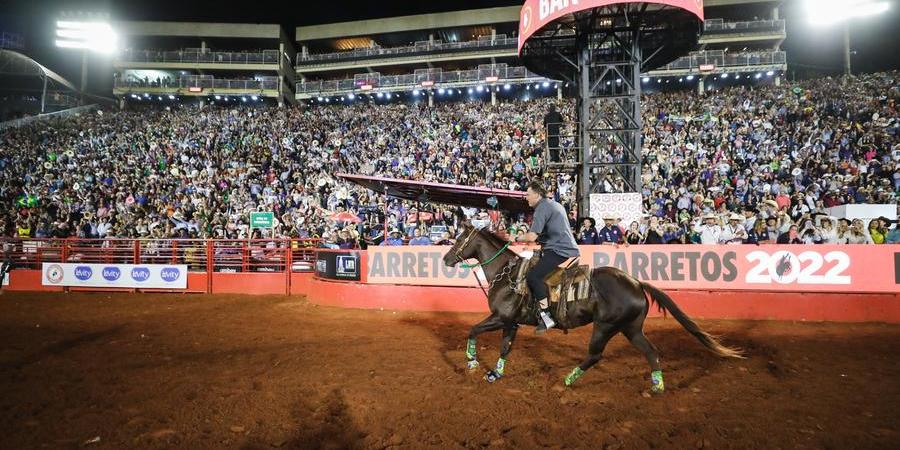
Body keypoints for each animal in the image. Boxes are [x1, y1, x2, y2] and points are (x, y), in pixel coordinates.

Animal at [440, 223, 740, 392]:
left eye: (460, 240)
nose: (445, 259)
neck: (507, 273)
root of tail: (636, 282)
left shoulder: (501, 317)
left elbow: (472, 330)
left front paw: (471, 361)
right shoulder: (510, 322)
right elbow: (505, 348)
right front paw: (495, 373)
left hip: (605, 326)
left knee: (595, 355)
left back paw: (567, 381)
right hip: (630, 328)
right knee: (651, 352)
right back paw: (657, 386)